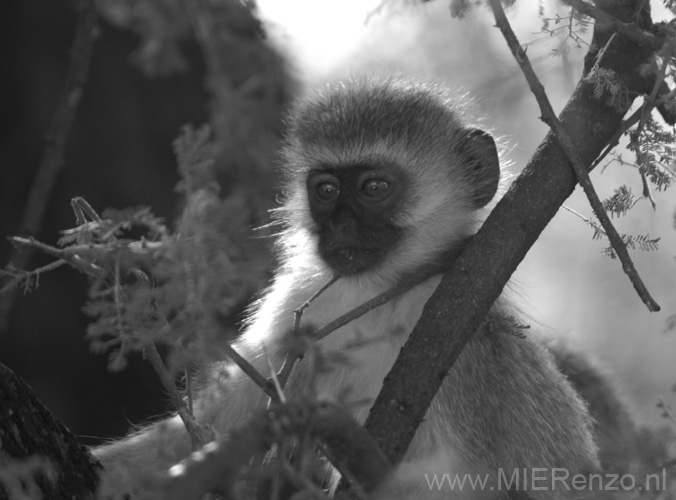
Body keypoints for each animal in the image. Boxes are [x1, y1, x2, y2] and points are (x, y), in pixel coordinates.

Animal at [95, 76, 596, 498]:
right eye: (326, 190)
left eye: (373, 187)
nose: (339, 227)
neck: (375, 295)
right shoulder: (298, 301)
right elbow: (218, 425)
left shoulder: (465, 336)